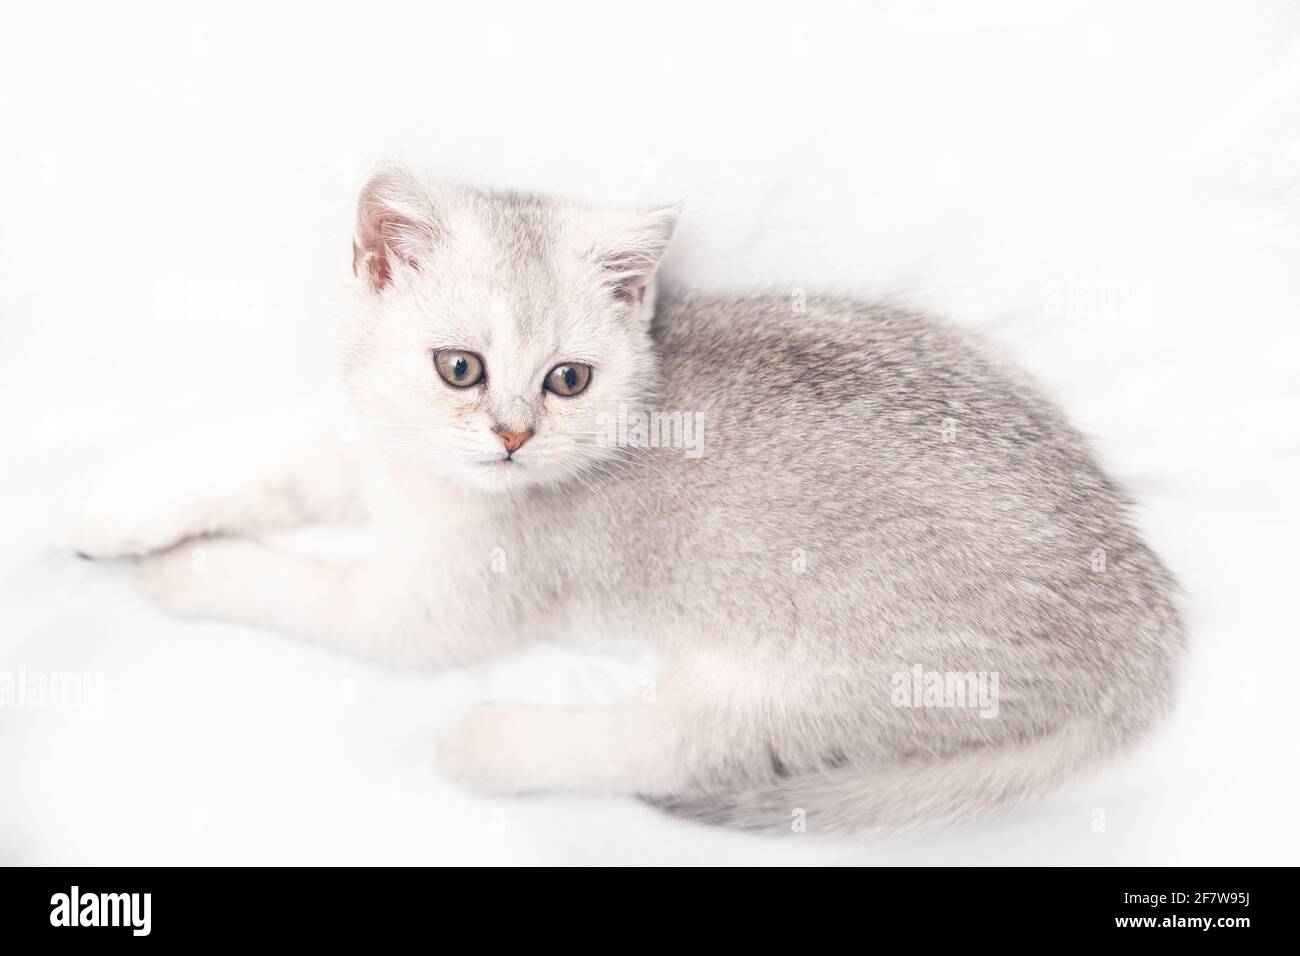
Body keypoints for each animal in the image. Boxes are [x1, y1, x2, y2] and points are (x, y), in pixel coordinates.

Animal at [73, 167, 1190, 832]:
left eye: (567, 380)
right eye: (459, 367)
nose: (512, 436)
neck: (430, 487)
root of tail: (1147, 633)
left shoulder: (427, 613)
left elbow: (306, 590)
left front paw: (188, 570)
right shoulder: (377, 454)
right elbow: (271, 468)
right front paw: (112, 512)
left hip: (804, 678)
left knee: (678, 746)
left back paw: (497, 745)